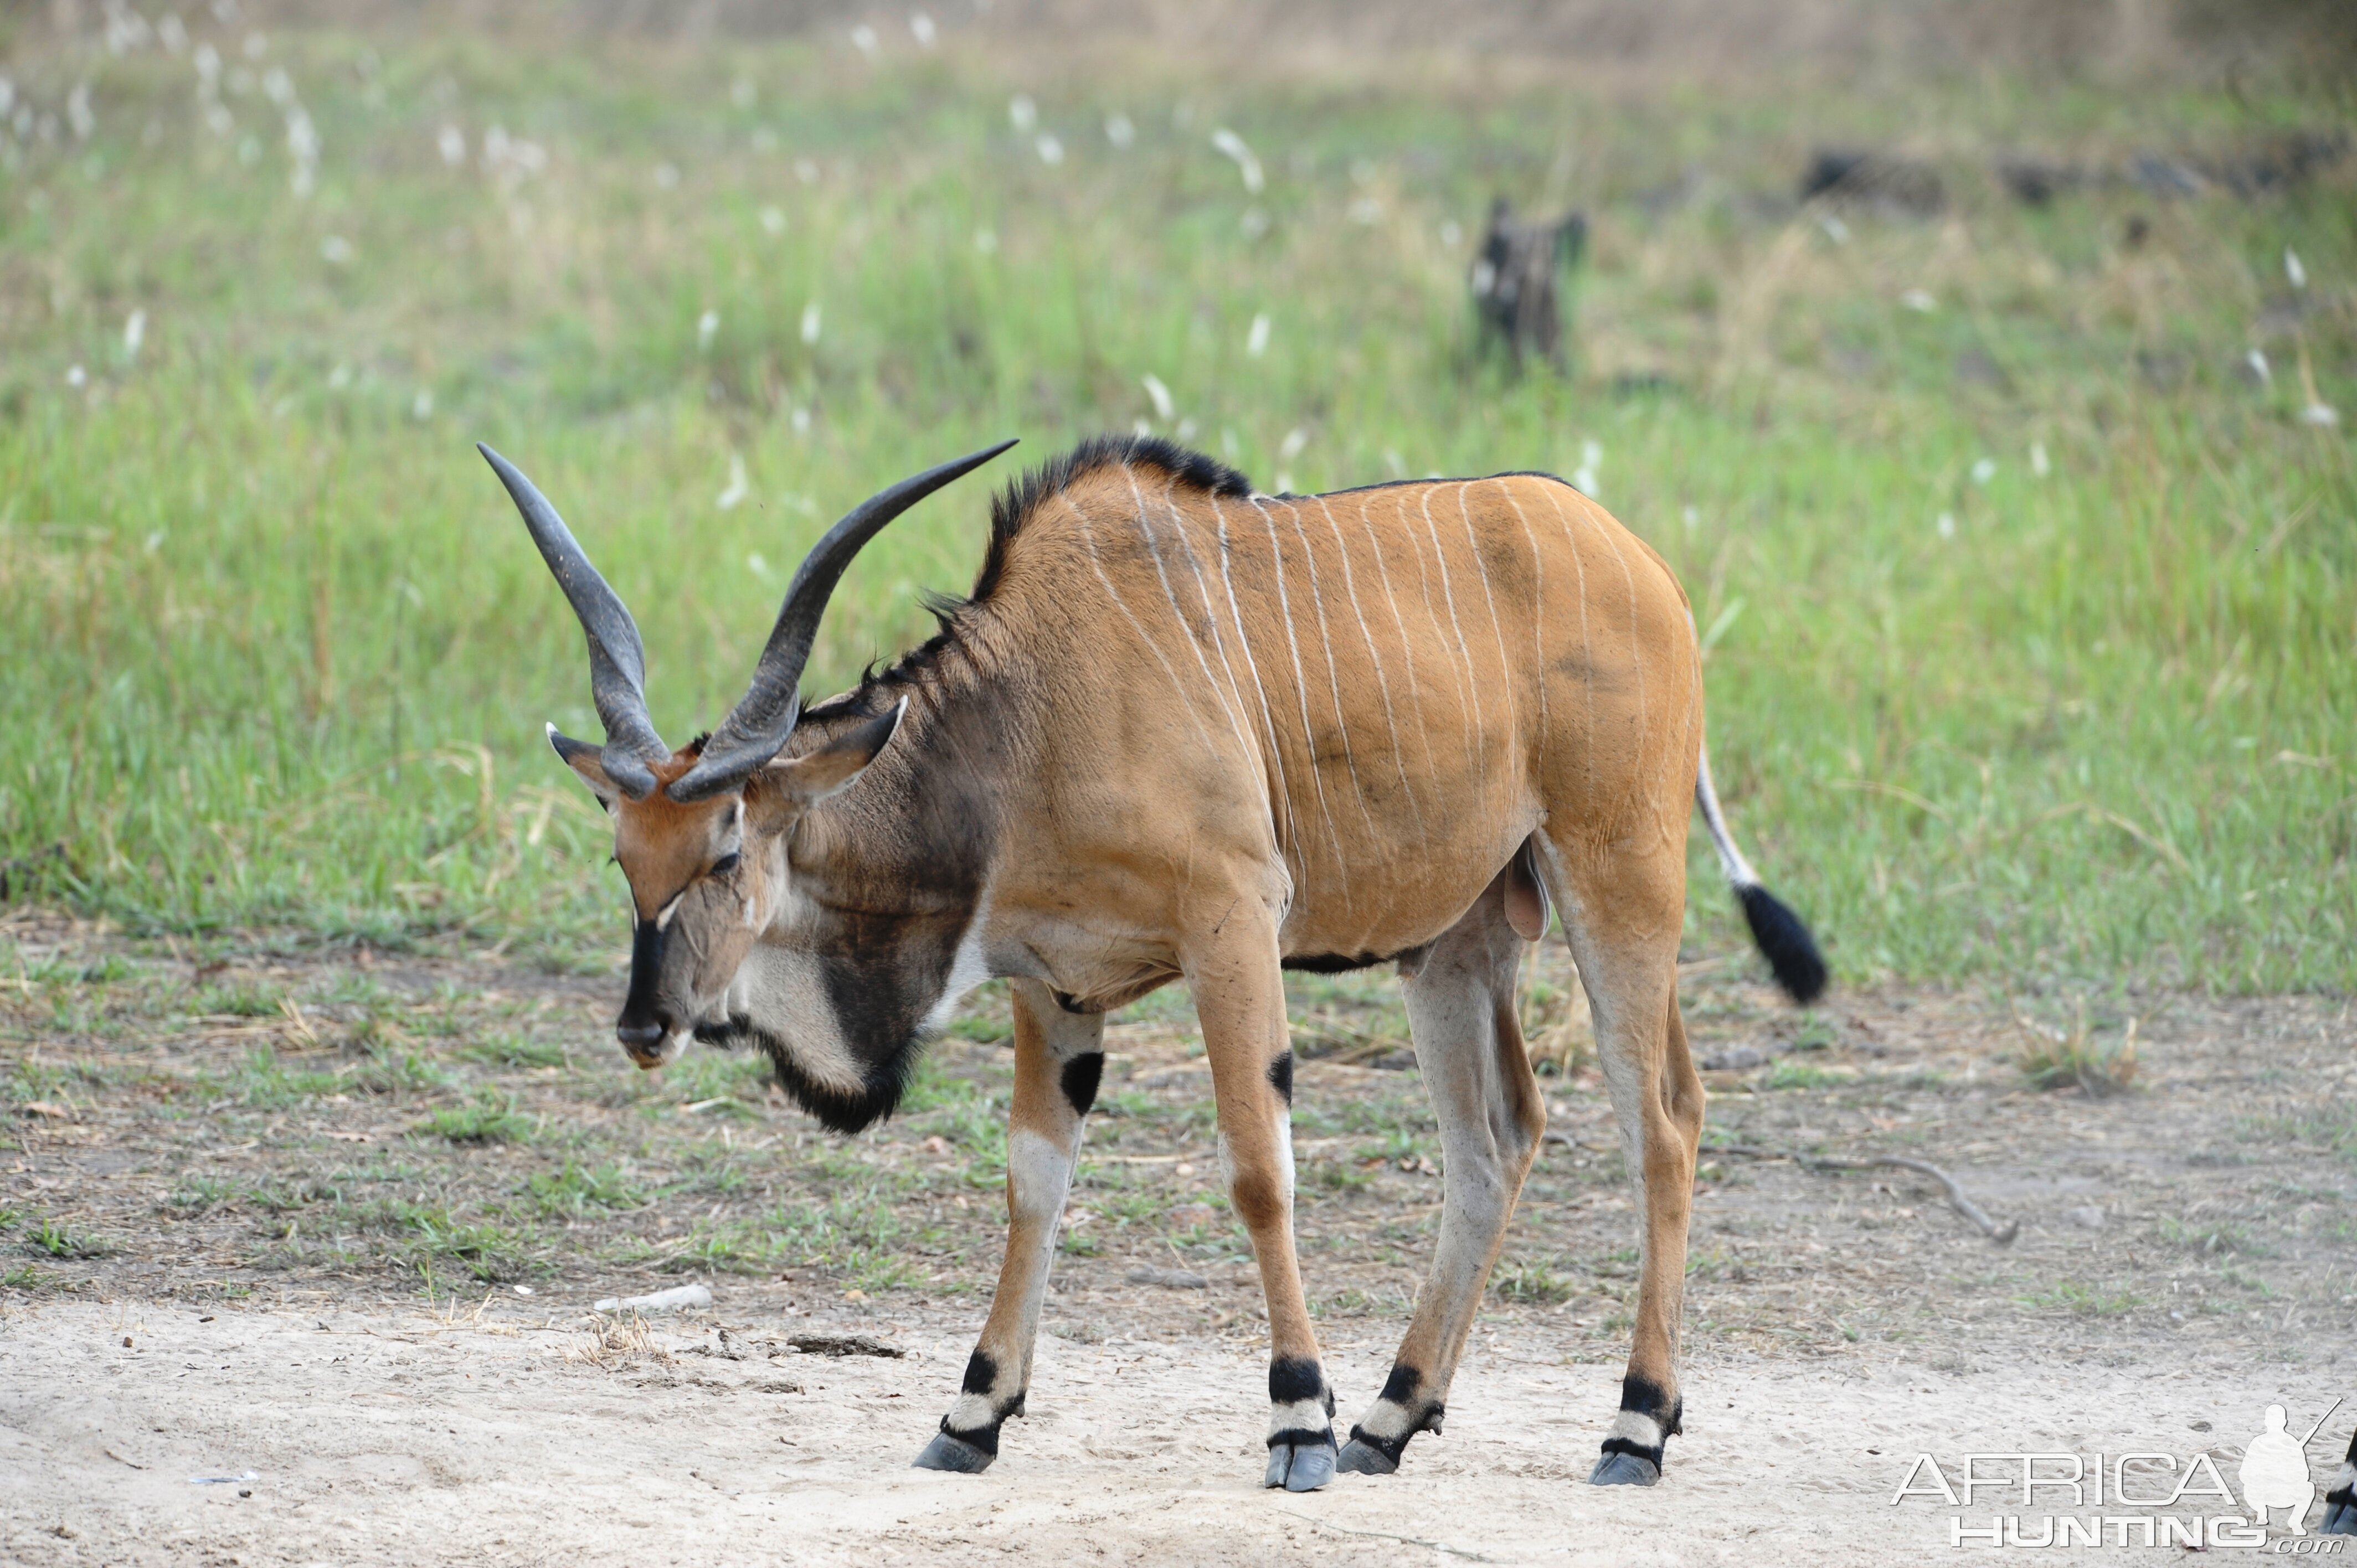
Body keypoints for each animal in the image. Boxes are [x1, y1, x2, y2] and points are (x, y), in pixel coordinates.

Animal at [487, 424, 1819, 1490]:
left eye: (725, 847)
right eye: (620, 852)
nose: (644, 1024)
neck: (1028, 719)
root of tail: (1641, 562)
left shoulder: (1232, 921)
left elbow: (1257, 1167)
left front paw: (1296, 1420)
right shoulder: (1055, 988)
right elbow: (1034, 1179)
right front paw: (972, 1414)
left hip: (1618, 883)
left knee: (1662, 1119)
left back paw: (1632, 1428)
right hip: (1456, 942)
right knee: (1497, 1137)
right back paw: (1392, 1418)